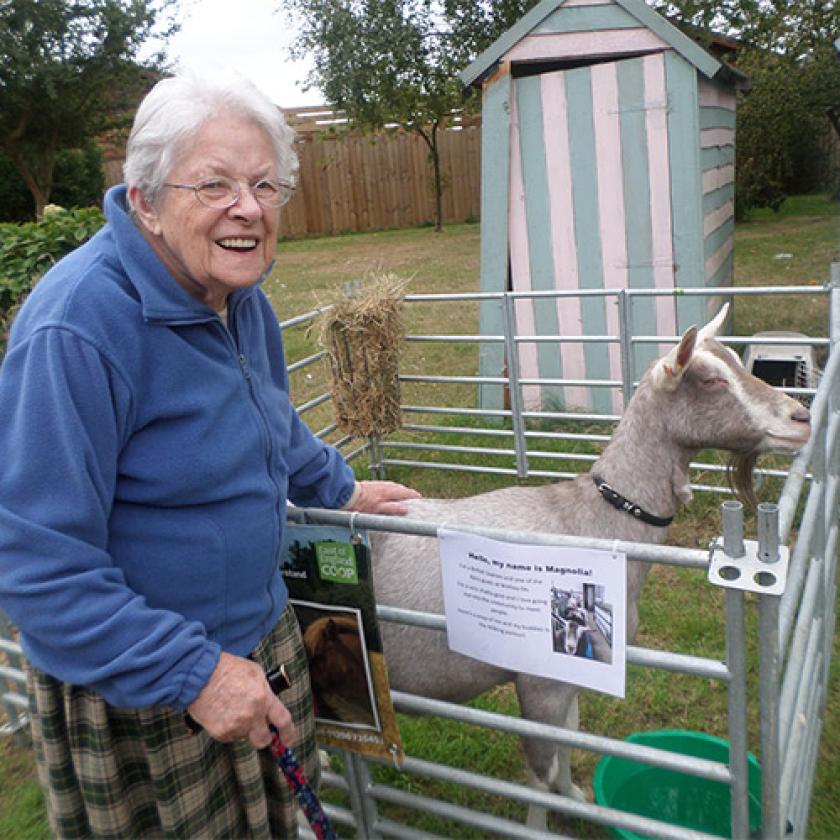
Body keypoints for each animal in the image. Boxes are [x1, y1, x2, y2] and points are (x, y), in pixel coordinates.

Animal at [370, 306, 812, 832]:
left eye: (736, 363)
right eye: (708, 379)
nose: (802, 418)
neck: (588, 519)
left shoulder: (572, 672)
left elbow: (571, 738)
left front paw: (576, 799)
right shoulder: (538, 682)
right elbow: (539, 774)